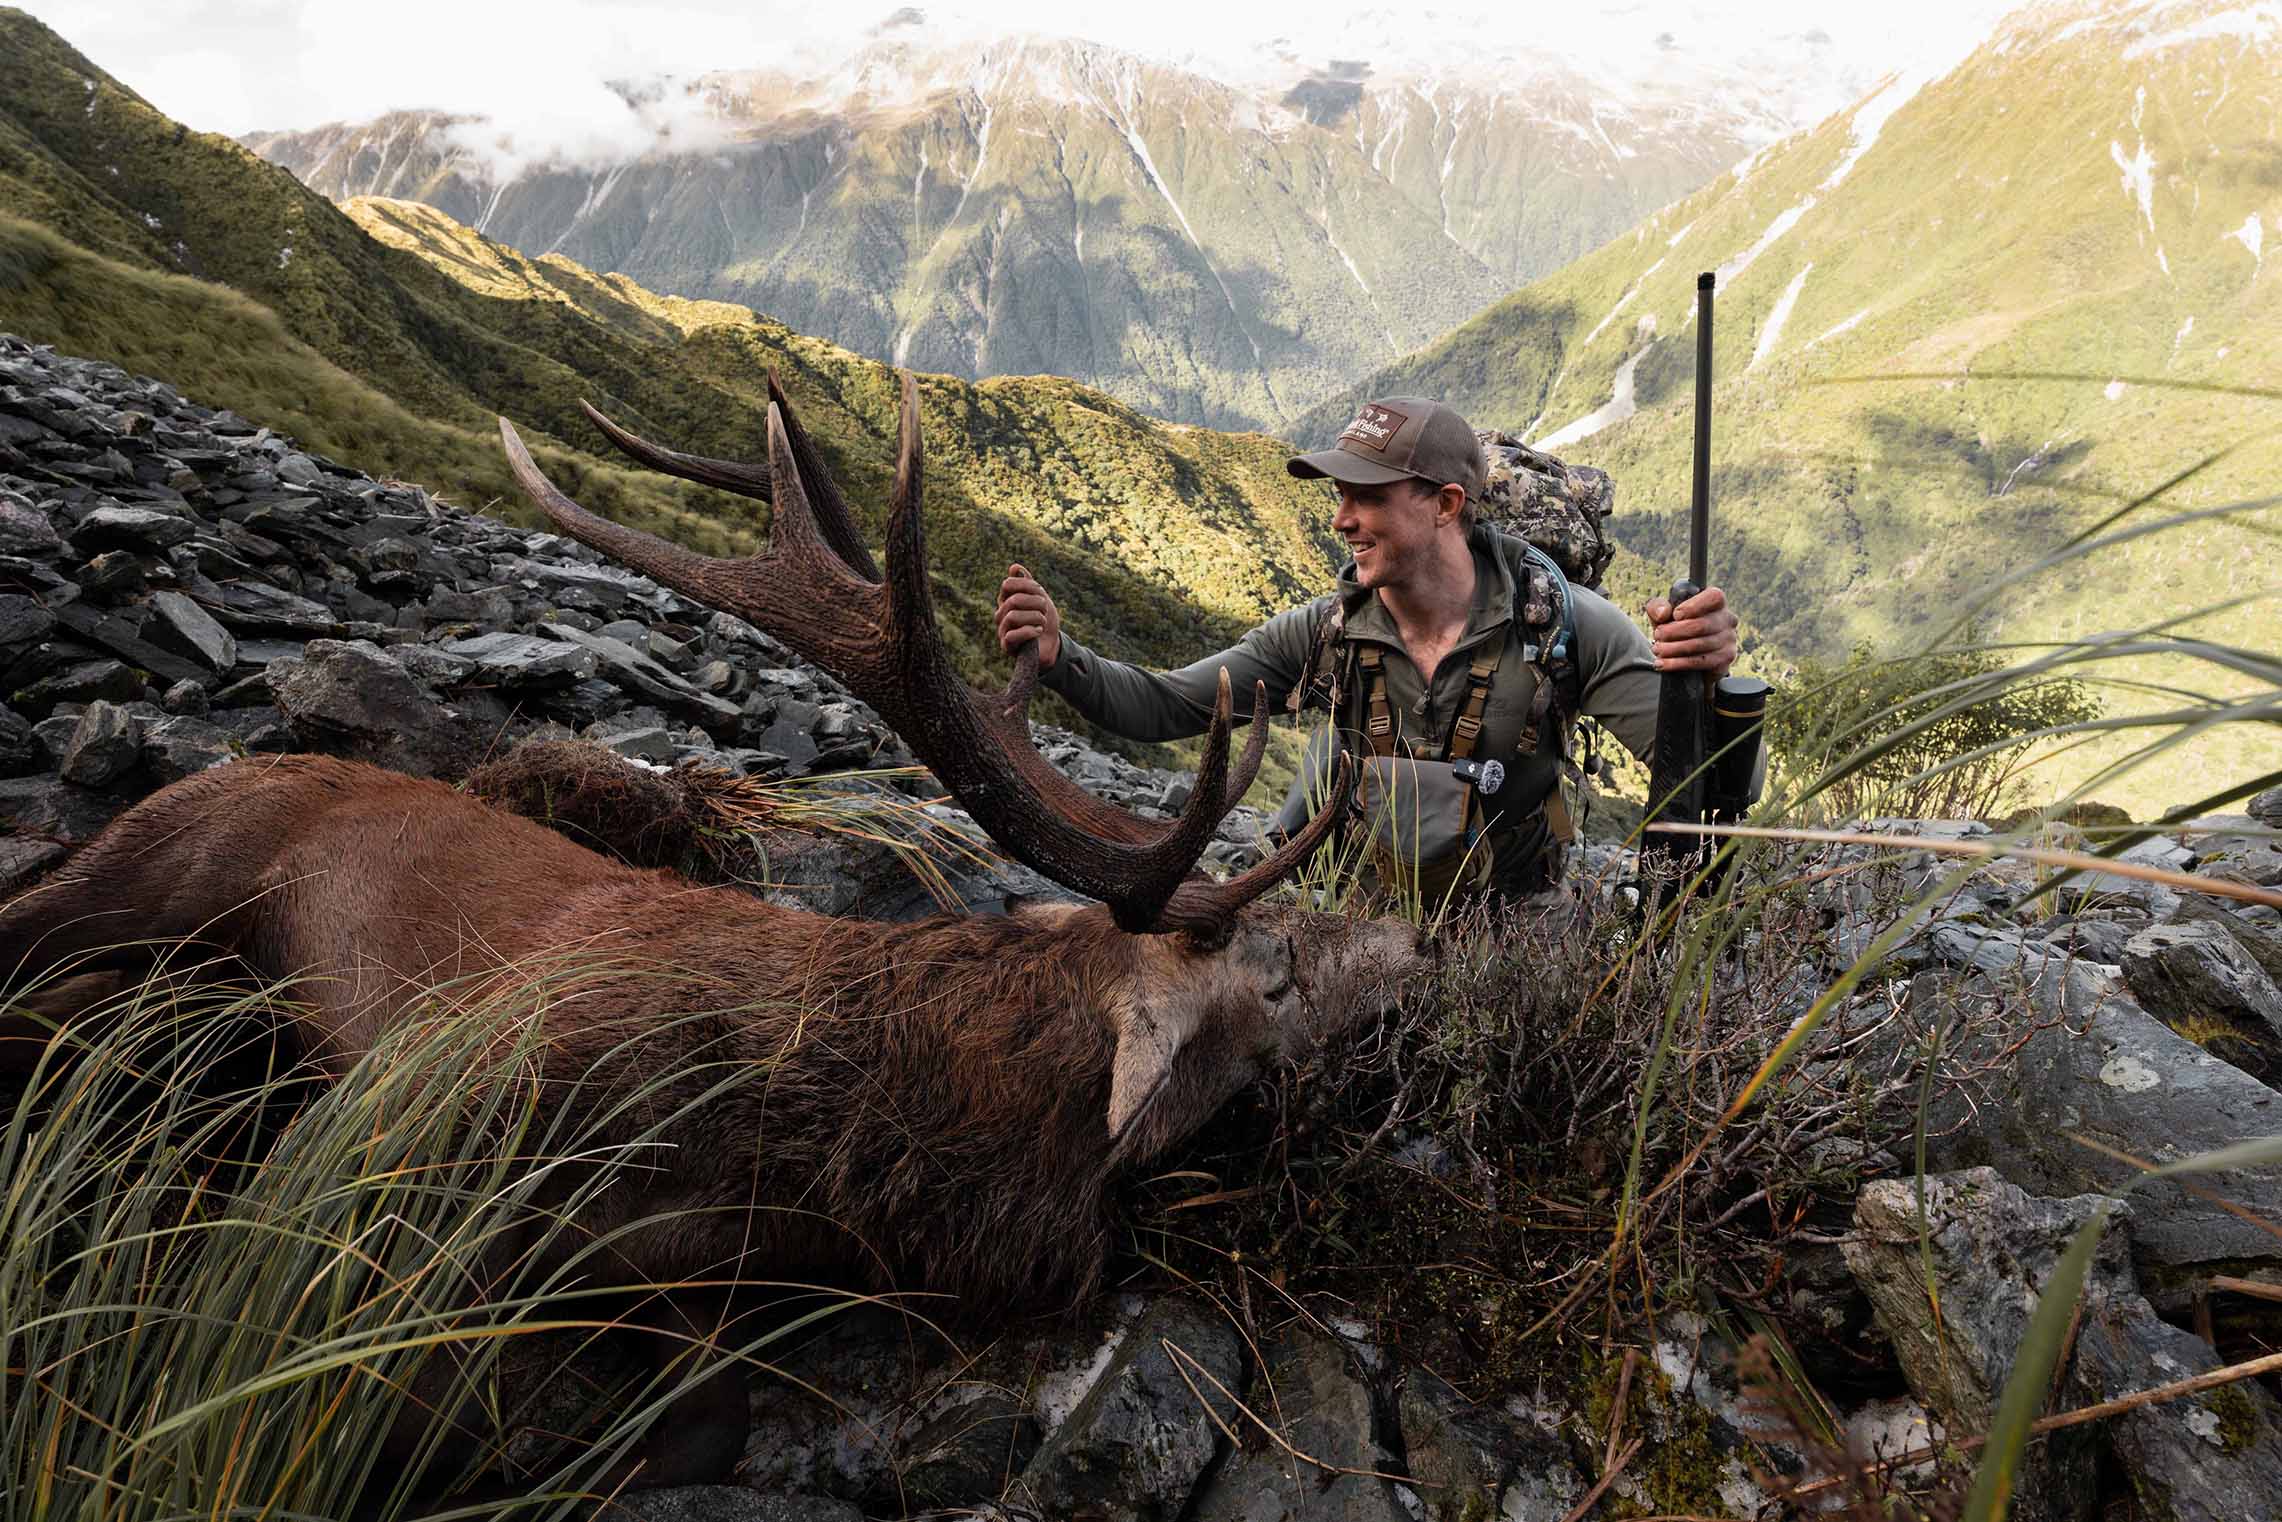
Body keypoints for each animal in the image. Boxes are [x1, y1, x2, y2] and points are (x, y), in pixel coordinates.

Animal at [0, 371, 1425, 1494]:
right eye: (1276, 974)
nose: (1413, 951)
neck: (816, 1140)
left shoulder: (697, 1285)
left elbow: (695, 1427)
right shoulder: (431, 1113)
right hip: (147, 870)